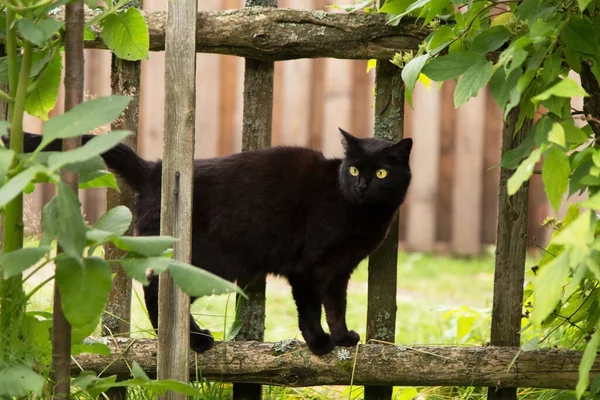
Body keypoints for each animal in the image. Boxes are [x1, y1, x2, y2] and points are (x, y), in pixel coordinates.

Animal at [10, 129, 412, 356]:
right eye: (355, 169)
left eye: (381, 172)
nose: (362, 185)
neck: (356, 211)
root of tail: (154, 170)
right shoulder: (308, 268)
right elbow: (312, 309)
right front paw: (319, 343)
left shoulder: (339, 270)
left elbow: (337, 305)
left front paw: (343, 336)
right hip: (204, 261)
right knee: (157, 291)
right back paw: (194, 340)